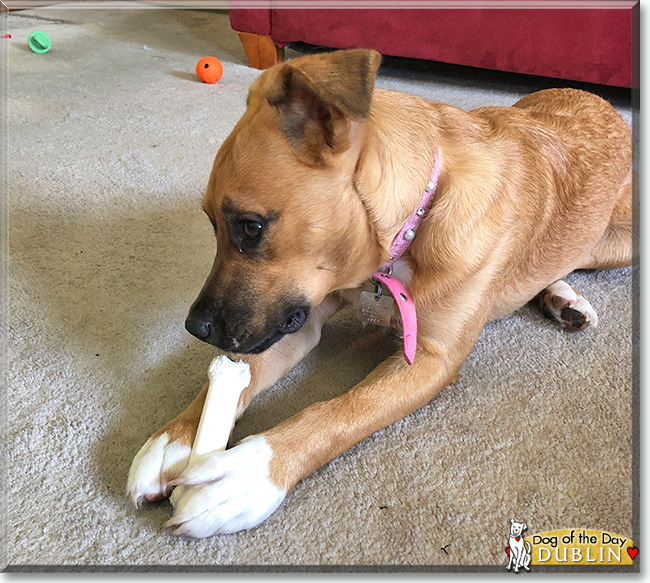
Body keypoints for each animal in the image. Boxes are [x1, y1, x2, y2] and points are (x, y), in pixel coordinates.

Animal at [126, 50, 632, 540]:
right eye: (212, 223)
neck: (411, 222)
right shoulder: (295, 317)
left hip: (616, 244)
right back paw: (561, 300)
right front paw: (179, 435)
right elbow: (243, 368)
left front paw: (250, 472)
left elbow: (340, 411)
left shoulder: (430, 359)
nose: (196, 328)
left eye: (251, 227)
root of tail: (598, 101)